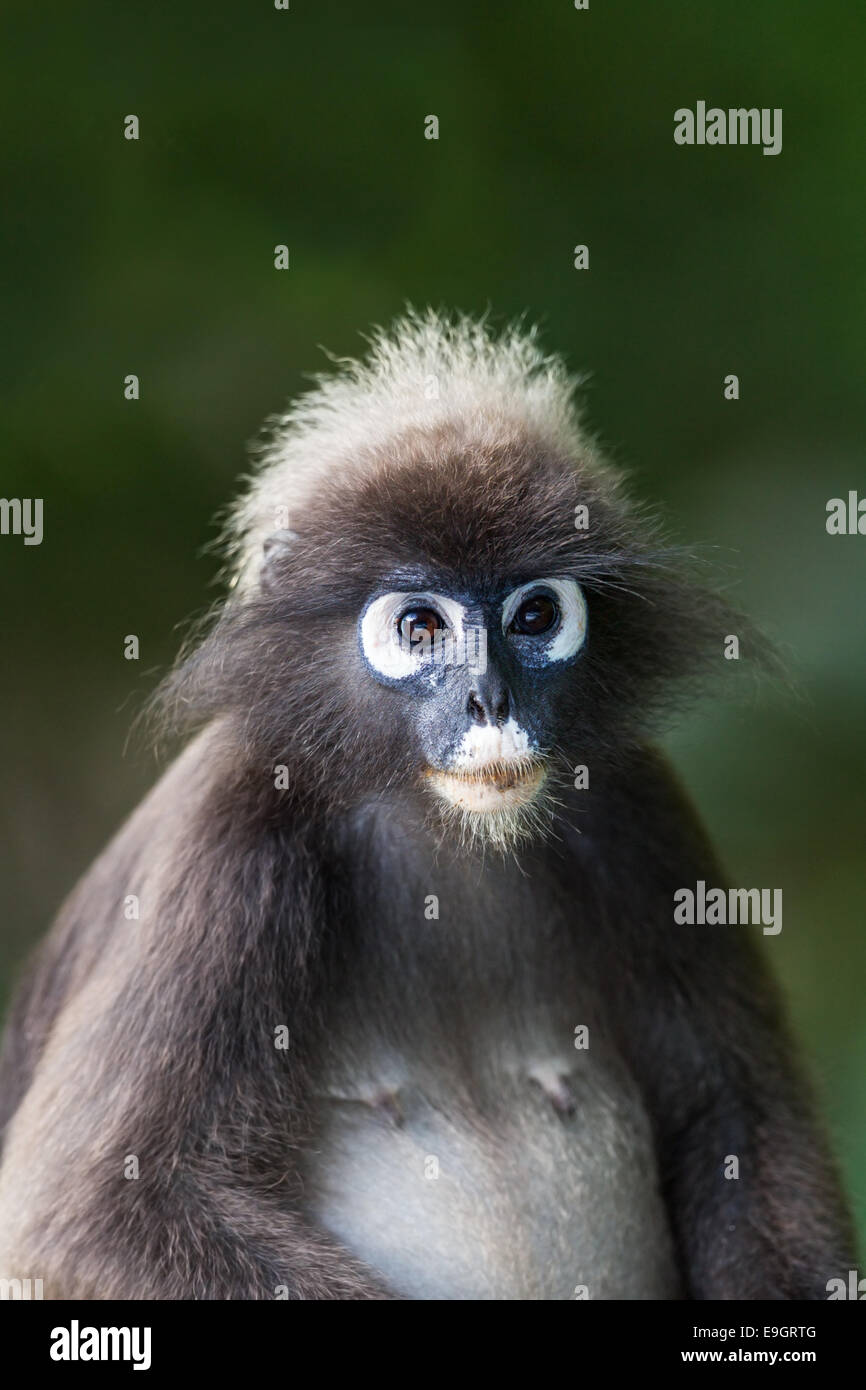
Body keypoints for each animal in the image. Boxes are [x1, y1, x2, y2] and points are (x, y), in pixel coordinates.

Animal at [0, 309, 856, 1295]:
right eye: (420, 627)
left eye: (535, 617)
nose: (490, 702)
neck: (446, 831)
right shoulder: (224, 838)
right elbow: (92, 1209)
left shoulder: (641, 808)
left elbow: (736, 1126)